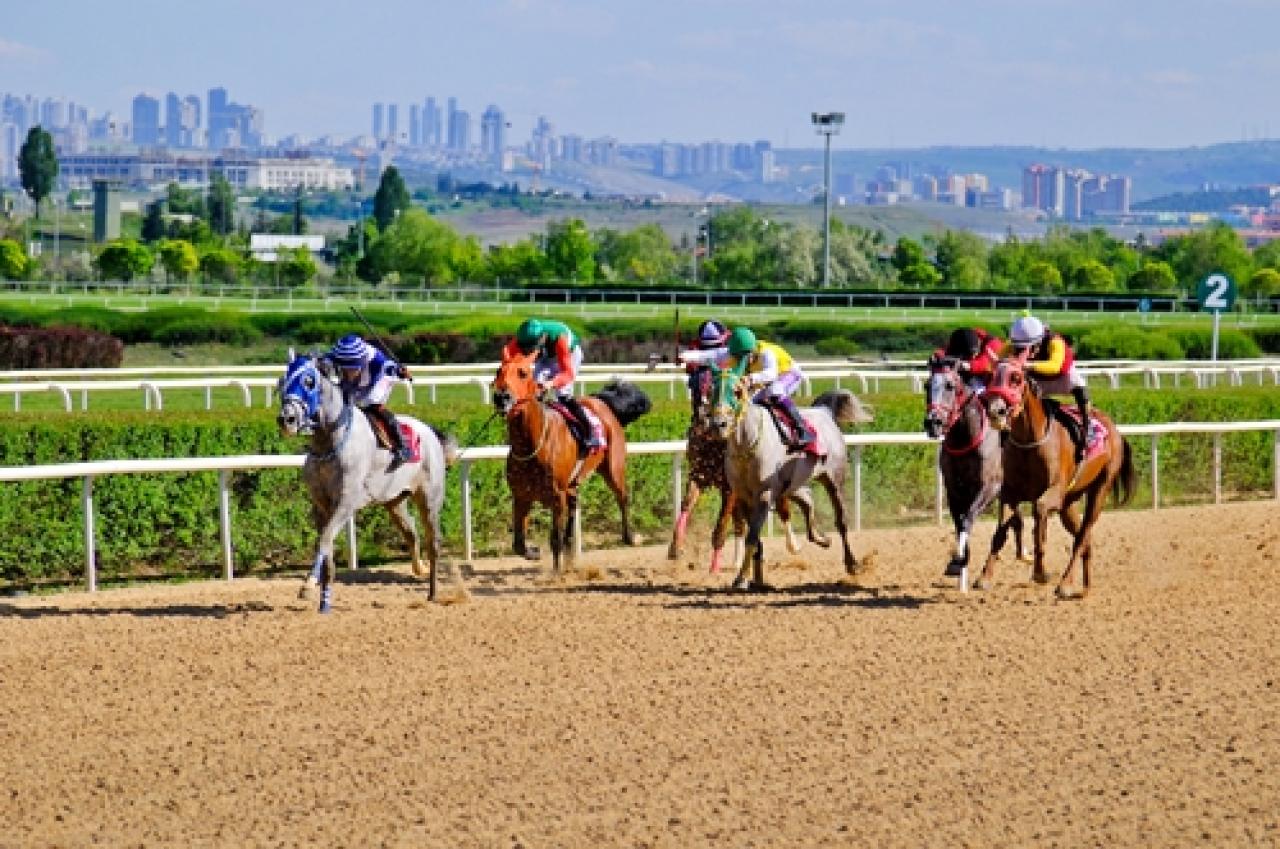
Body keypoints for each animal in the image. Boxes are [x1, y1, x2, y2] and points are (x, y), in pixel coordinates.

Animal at [277, 348, 458, 614]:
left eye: (309, 382)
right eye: (281, 382)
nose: (286, 420)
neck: (329, 444)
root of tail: (431, 432)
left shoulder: (346, 502)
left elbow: (324, 541)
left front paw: (307, 586)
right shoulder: (320, 506)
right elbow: (325, 547)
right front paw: (324, 603)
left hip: (429, 499)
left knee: (433, 542)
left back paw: (433, 593)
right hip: (394, 501)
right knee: (411, 533)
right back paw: (419, 569)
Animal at [488, 348, 650, 573]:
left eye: (522, 373)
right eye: (498, 371)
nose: (501, 397)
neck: (533, 445)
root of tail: (601, 401)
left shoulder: (557, 496)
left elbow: (554, 539)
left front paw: (557, 574)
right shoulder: (521, 496)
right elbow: (518, 543)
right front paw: (533, 551)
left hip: (614, 468)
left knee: (623, 497)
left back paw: (631, 537)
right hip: (573, 485)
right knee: (574, 508)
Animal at [706, 366, 875, 591]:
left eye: (737, 392)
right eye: (711, 391)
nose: (719, 425)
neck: (747, 446)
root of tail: (824, 411)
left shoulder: (765, 494)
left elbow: (752, 538)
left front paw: (741, 578)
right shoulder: (743, 496)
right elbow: (756, 540)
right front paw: (756, 580)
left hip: (833, 479)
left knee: (841, 521)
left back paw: (852, 564)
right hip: (792, 485)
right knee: (807, 499)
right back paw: (822, 539)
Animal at [977, 350, 1141, 596]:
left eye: (1016, 378)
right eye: (991, 377)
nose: (995, 411)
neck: (1030, 441)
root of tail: (1115, 431)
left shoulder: (1053, 492)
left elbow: (1039, 517)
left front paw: (1040, 572)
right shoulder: (1010, 493)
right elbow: (999, 533)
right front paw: (984, 576)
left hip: (1099, 489)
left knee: (1082, 536)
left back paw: (1065, 584)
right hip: (1068, 503)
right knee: (1085, 538)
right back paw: (1085, 588)